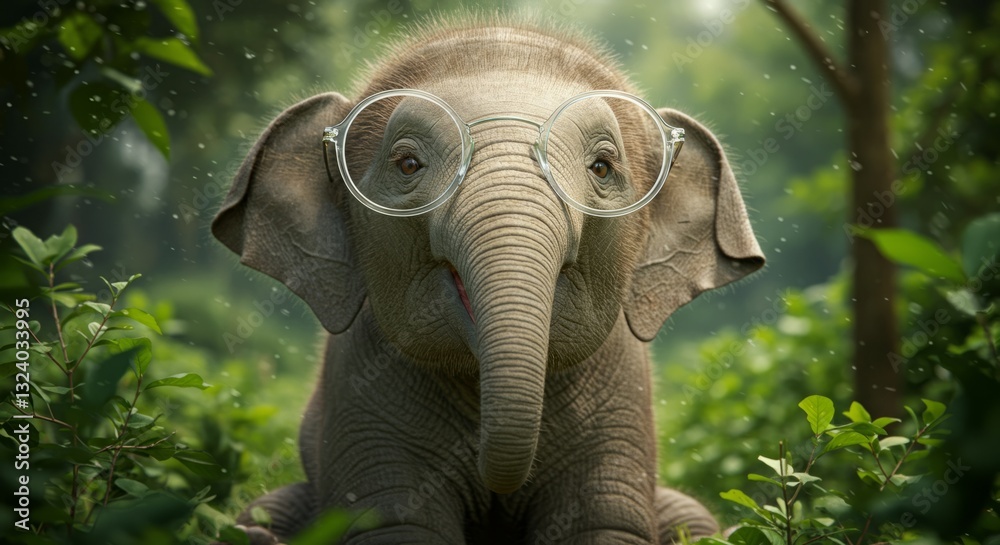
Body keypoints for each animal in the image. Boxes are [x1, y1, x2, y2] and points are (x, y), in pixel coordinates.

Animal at [212, 15, 764, 545]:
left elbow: (600, 526)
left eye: (602, 168)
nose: (496, 494)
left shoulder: (620, 408)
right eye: (407, 164)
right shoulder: (361, 398)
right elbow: (400, 526)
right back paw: (255, 533)